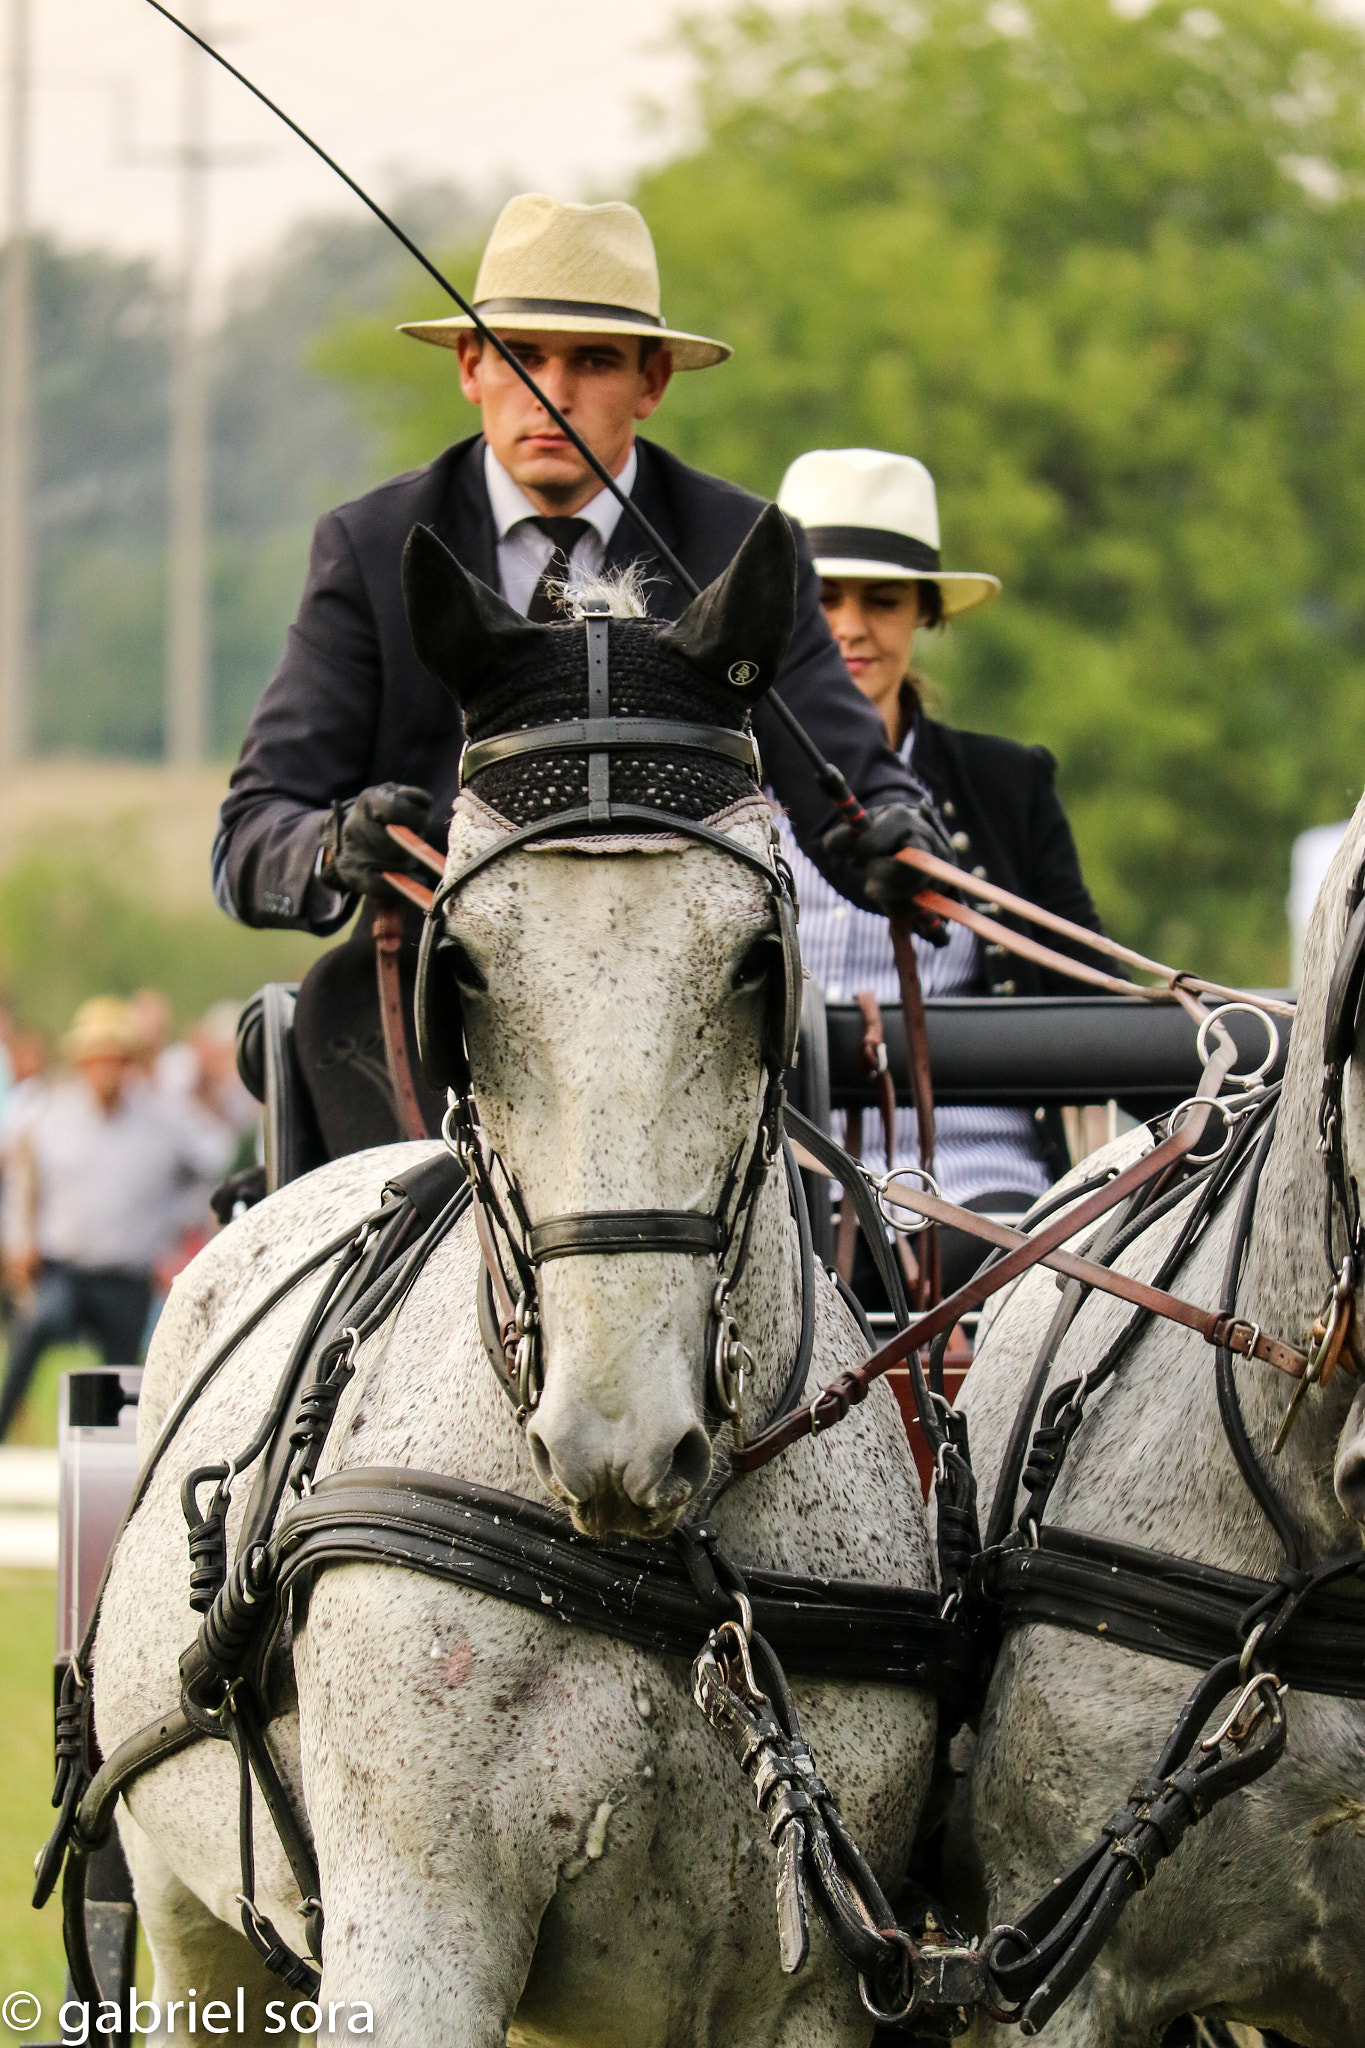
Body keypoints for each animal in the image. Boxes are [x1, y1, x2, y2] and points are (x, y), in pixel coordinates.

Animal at [90, 511, 938, 2048]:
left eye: (757, 959)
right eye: (462, 968)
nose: (620, 1439)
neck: (645, 1566)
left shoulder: (806, 1989)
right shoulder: (416, 1935)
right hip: (189, 1917)